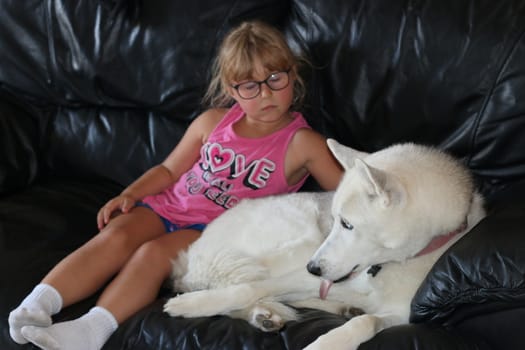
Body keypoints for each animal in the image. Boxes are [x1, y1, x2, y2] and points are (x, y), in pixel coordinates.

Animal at [164, 140, 484, 350]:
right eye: (335, 219)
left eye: (347, 224)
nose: (313, 268)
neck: (382, 268)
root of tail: (190, 262)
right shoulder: (305, 275)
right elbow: (248, 289)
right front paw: (192, 305)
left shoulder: (401, 314)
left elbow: (365, 323)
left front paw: (328, 342)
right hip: (297, 242)